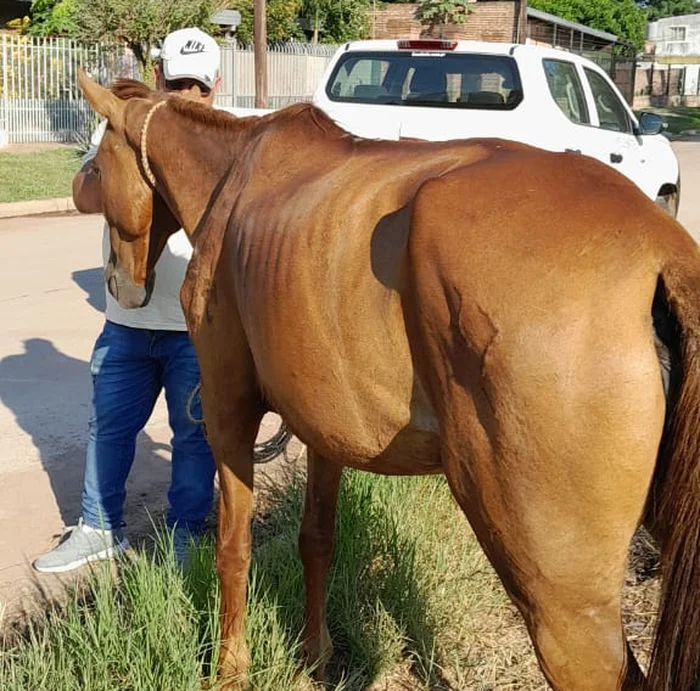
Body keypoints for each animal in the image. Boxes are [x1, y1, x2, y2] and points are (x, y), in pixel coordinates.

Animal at [78, 71, 700, 690]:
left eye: (96, 164)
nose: (118, 285)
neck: (236, 174)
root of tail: (659, 250)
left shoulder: (227, 407)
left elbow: (233, 547)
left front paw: (232, 669)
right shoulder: (323, 426)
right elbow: (316, 540)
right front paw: (316, 655)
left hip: (563, 603)